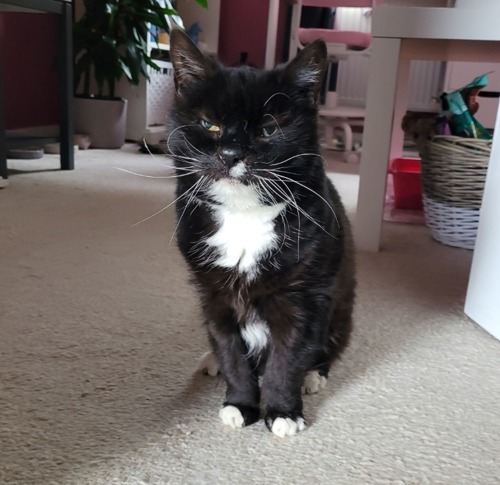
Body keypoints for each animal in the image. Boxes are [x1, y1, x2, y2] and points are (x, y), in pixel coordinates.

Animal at [168, 30, 356, 436]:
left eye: (269, 128)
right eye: (210, 125)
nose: (230, 154)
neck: (243, 215)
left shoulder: (303, 295)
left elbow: (287, 358)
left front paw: (283, 411)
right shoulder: (213, 293)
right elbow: (231, 351)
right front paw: (240, 403)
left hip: (342, 305)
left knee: (329, 344)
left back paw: (314, 376)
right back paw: (211, 361)